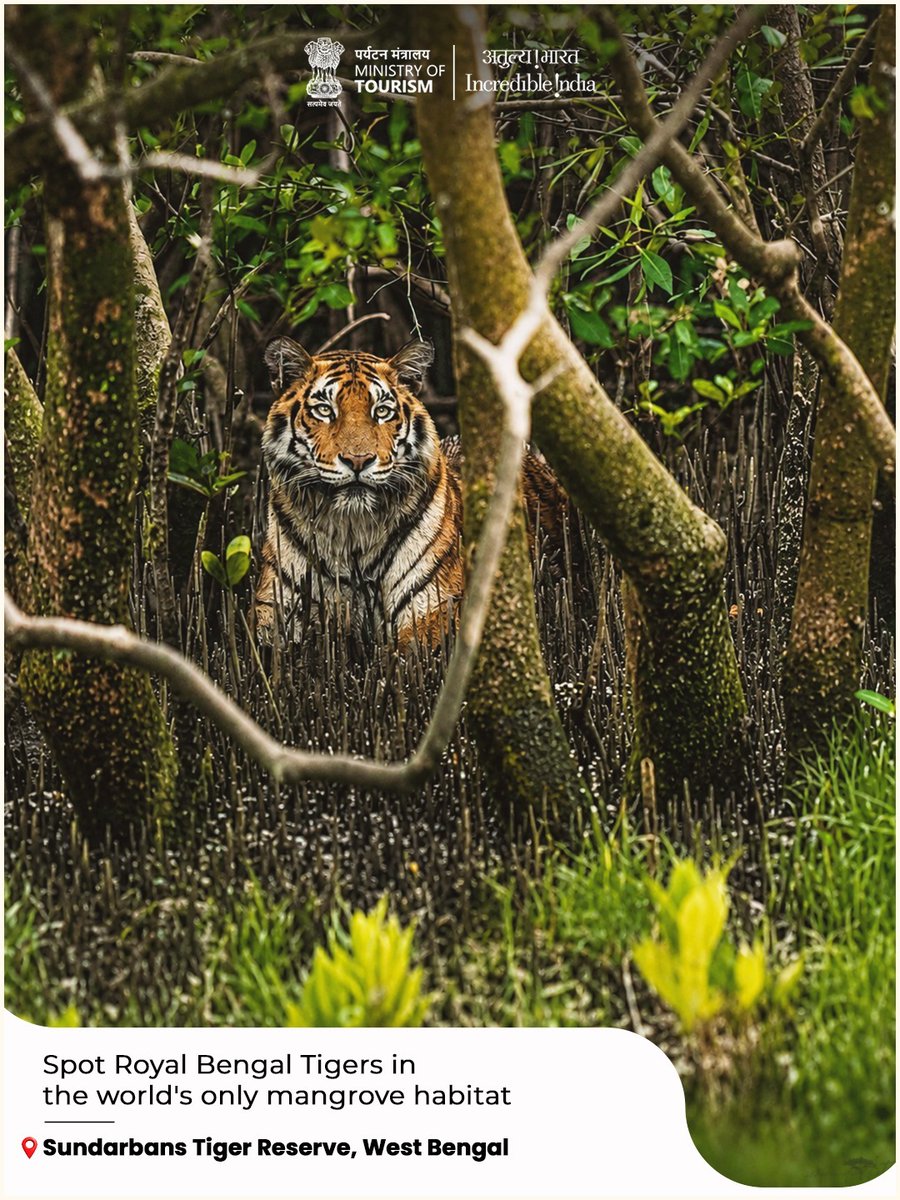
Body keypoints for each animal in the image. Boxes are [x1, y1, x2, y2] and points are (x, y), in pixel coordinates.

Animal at [254, 336, 569, 648]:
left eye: (382, 412)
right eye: (324, 410)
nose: (358, 460)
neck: (351, 532)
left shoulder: (434, 608)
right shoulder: (276, 608)